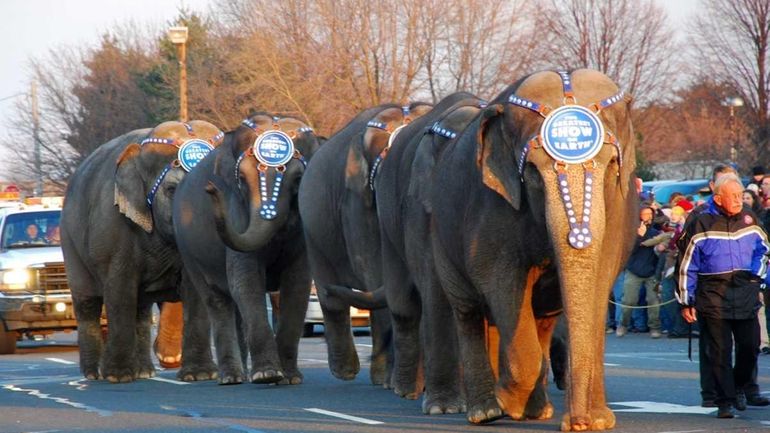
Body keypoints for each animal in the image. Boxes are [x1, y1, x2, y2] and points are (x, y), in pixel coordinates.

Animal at [62, 119, 222, 382]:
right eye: (171, 189)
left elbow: (195, 290)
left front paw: (200, 376)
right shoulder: (113, 227)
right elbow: (119, 291)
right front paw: (118, 377)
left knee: (142, 310)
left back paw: (144, 371)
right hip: (69, 243)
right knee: (88, 304)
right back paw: (94, 374)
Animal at [172, 112, 320, 384]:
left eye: (298, 179)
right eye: (240, 180)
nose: (210, 189)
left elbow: (298, 284)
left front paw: (289, 378)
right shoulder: (237, 211)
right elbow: (246, 281)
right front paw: (268, 375)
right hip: (188, 250)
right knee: (217, 301)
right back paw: (232, 378)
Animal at [296, 102, 432, 384]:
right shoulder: (355, 204)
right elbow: (374, 272)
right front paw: (389, 380)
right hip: (312, 229)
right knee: (332, 296)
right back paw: (348, 371)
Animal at [428, 69, 632, 430]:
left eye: (610, 167)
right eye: (533, 172)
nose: (576, 423)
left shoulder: (616, 210)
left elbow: (600, 280)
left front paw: (598, 421)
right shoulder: (492, 205)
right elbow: (500, 280)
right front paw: (507, 403)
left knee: (541, 319)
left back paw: (535, 411)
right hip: (441, 234)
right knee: (468, 311)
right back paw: (486, 413)